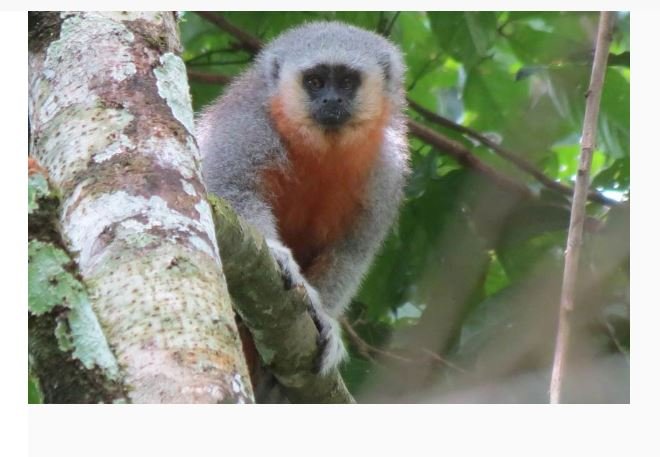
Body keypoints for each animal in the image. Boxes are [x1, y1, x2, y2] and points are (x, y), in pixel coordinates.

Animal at [196, 21, 409, 380]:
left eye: (347, 82)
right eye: (315, 81)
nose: (331, 99)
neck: (321, 148)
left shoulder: (387, 169)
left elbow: (350, 250)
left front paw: (324, 316)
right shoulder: (245, 127)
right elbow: (227, 188)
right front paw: (278, 255)